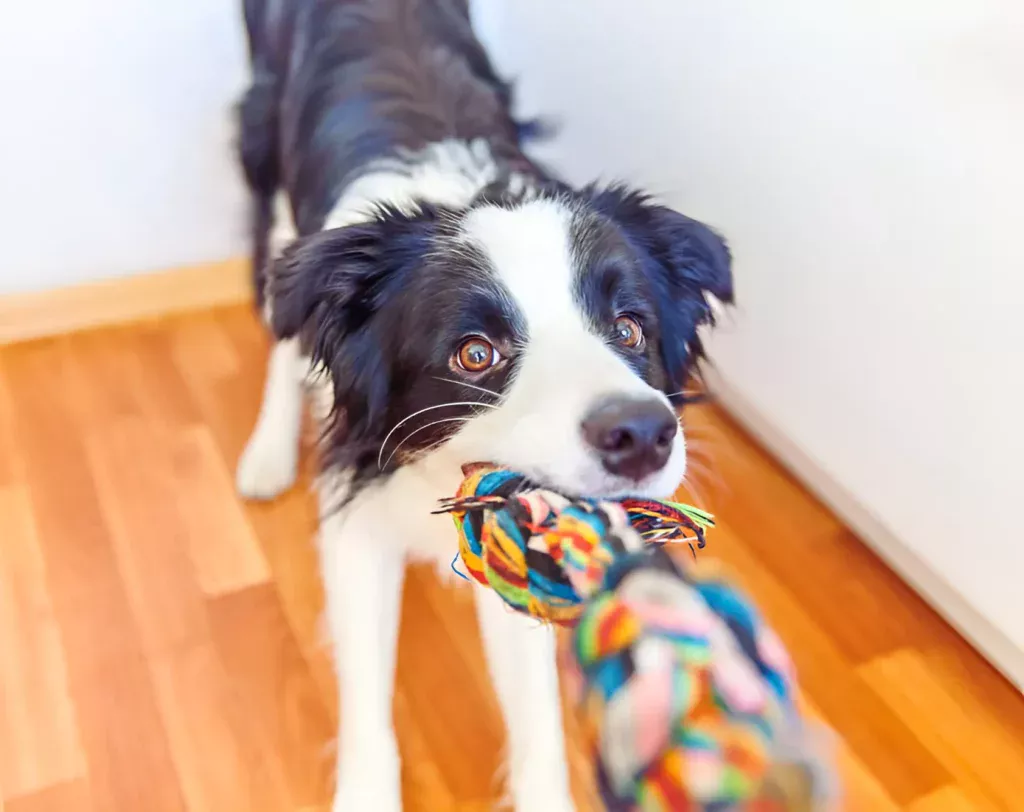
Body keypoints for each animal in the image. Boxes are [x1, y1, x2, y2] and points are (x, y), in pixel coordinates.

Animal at [235, 3, 733, 806]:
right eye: (476, 354)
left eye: (629, 327)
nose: (642, 434)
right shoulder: (358, 518)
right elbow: (366, 696)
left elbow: (535, 717)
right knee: (282, 323)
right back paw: (267, 453)